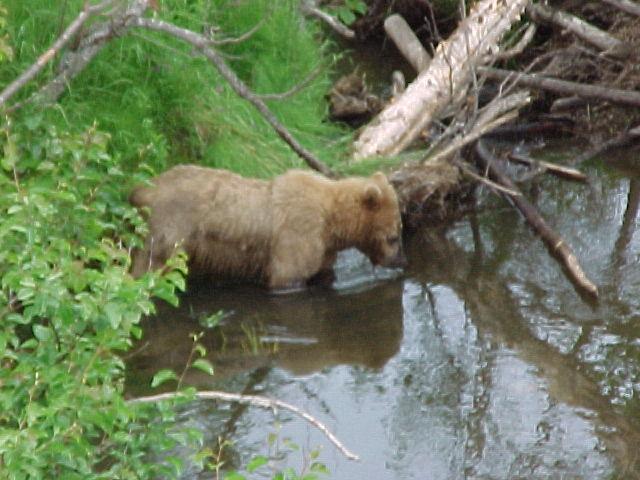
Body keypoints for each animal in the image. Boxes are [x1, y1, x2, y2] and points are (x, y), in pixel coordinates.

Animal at [131, 165, 404, 290]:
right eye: (393, 236)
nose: (401, 261)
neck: (332, 221)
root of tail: (144, 189)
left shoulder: (323, 248)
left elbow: (322, 272)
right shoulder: (298, 234)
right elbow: (287, 276)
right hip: (171, 232)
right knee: (147, 266)